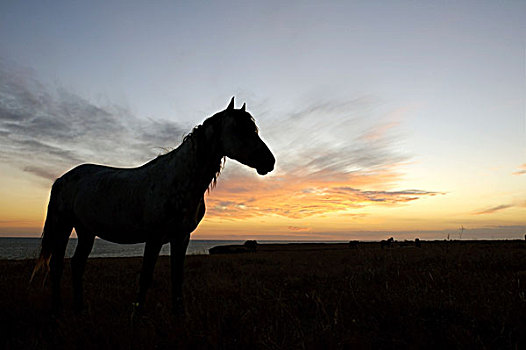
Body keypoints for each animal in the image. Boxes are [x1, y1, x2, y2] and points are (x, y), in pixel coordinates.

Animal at [29, 97, 276, 316]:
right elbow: (146, 276)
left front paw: (179, 315)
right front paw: (137, 315)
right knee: (57, 267)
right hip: (63, 226)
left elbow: (177, 277)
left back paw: (80, 309)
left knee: (77, 265)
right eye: (239, 129)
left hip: (86, 231)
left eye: (254, 129)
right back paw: (57, 310)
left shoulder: (181, 237)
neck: (179, 180)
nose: (269, 161)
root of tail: (62, 179)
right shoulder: (154, 237)